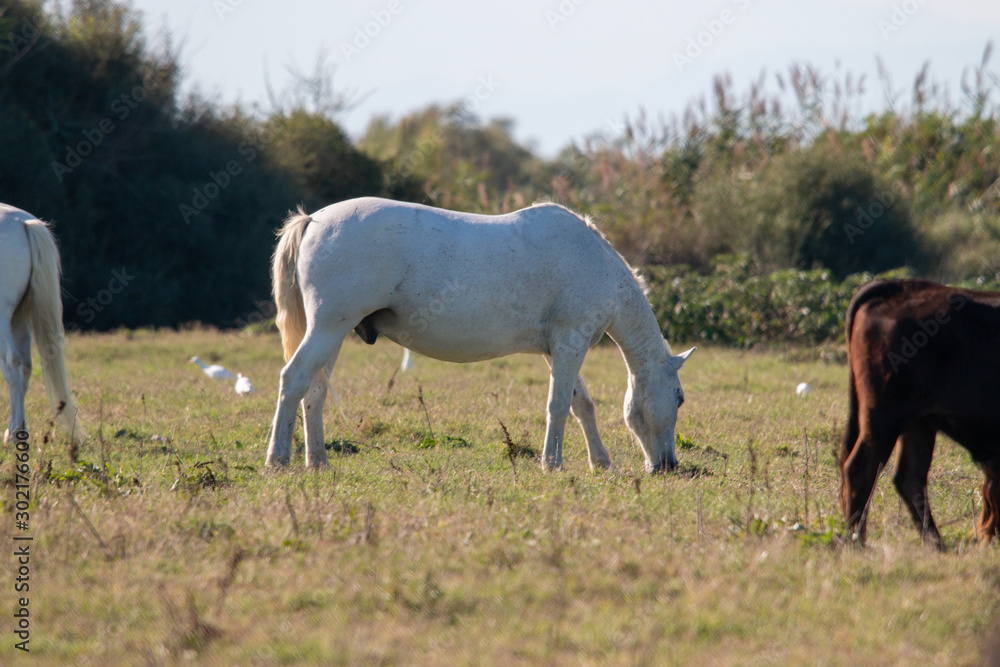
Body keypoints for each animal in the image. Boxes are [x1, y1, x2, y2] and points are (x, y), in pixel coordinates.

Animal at [0, 203, 86, 444]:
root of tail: (22, 222)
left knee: (12, 363)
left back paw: (13, 434)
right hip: (19, 317)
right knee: (25, 367)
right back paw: (18, 431)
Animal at [265, 197, 694, 471]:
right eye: (680, 398)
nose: (668, 466)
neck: (596, 261)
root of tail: (312, 221)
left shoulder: (556, 350)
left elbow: (581, 404)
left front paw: (601, 463)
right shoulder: (570, 344)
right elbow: (558, 406)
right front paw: (552, 464)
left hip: (331, 336)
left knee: (313, 392)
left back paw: (318, 462)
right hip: (327, 329)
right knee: (292, 380)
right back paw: (278, 460)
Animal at [841, 279, 1000, 548]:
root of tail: (901, 286)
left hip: (918, 423)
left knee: (910, 476)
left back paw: (936, 542)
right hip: (884, 419)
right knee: (861, 469)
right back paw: (856, 541)